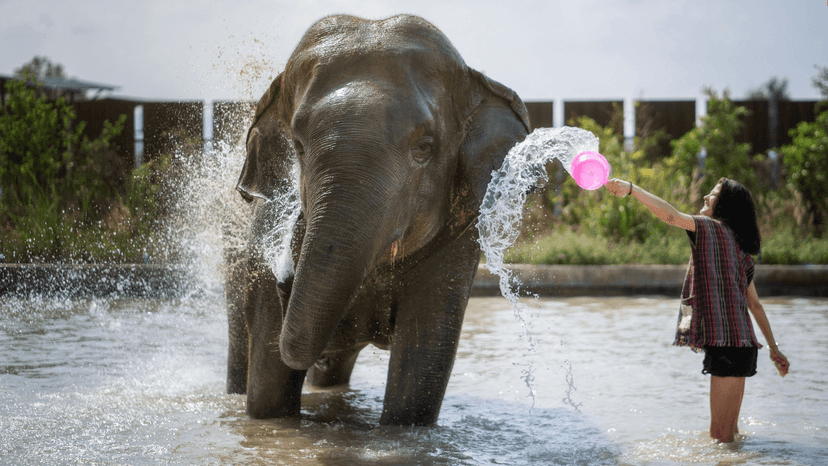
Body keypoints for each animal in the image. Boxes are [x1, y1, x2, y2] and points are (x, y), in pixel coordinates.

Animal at [226, 14, 530, 426]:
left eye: (425, 148)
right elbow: (268, 396)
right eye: (298, 148)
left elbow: (422, 363)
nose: (284, 275)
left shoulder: (458, 241)